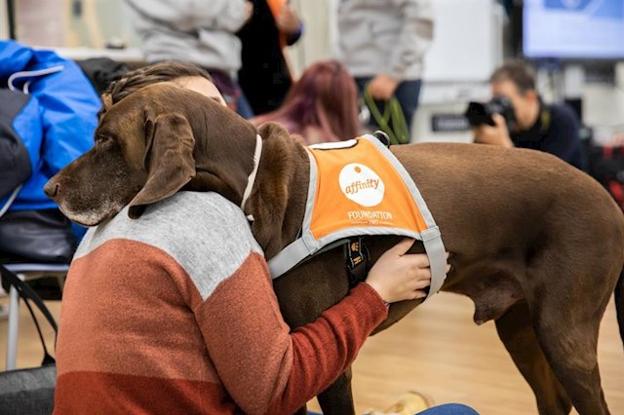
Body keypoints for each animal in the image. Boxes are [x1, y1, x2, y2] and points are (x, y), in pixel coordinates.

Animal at [45, 84, 624, 415]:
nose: (49, 188)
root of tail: (607, 196)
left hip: (562, 332)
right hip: (521, 327)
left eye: (105, 141)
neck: (254, 186)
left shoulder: (328, 363)